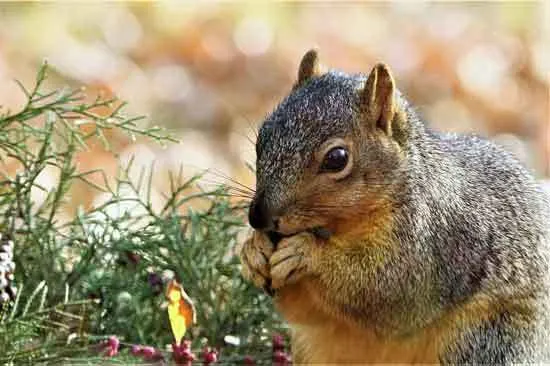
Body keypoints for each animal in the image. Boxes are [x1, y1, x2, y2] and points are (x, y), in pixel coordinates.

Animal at [239, 50, 550, 364]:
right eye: (262, 137)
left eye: (337, 159)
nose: (258, 217)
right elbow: (305, 312)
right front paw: (252, 251)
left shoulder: (433, 241)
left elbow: (389, 289)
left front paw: (308, 253)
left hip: (484, 342)